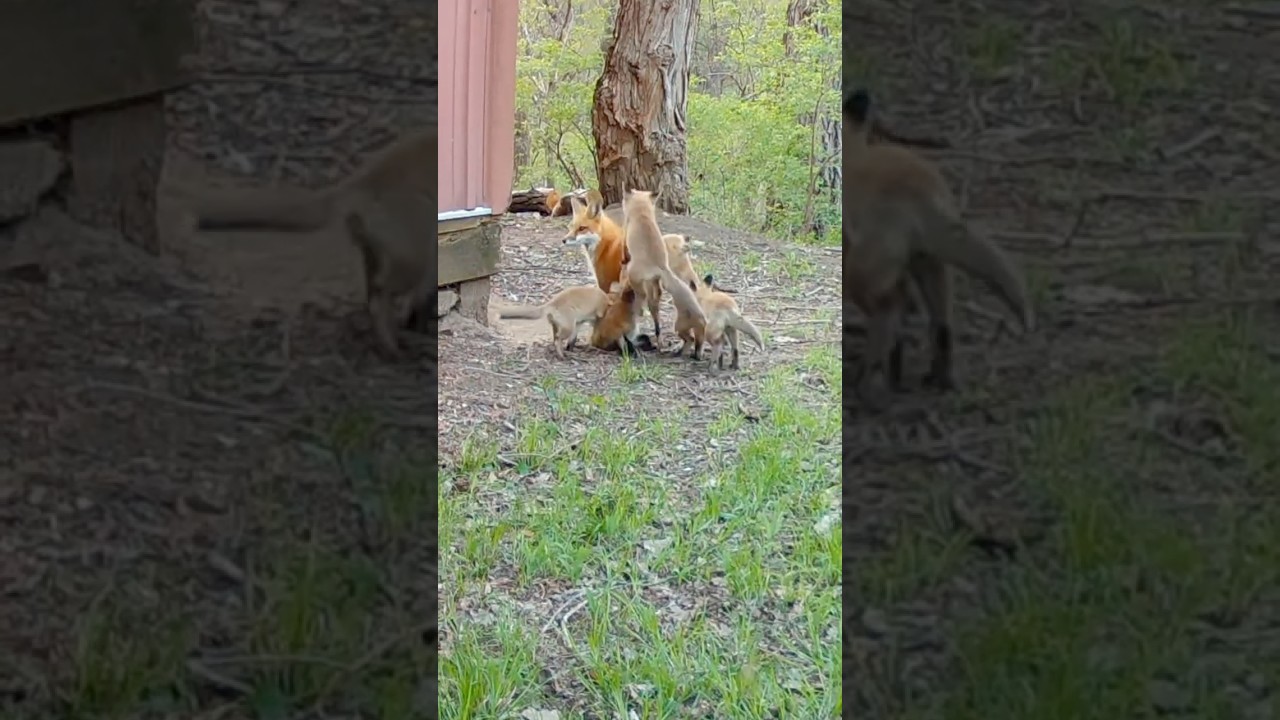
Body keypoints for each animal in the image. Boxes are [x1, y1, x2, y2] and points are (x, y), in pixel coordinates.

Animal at [174, 127, 437, 359]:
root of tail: (364, 179)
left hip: (378, 235)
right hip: (412, 230)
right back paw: (393, 338)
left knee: (383, 281)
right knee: (393, 284)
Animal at [842, 89, 1034, 402]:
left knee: (894, 308)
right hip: (930, 264)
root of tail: (922, 196)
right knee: (940, 325)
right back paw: (936, 378)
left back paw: (872, 379)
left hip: (864, 274)